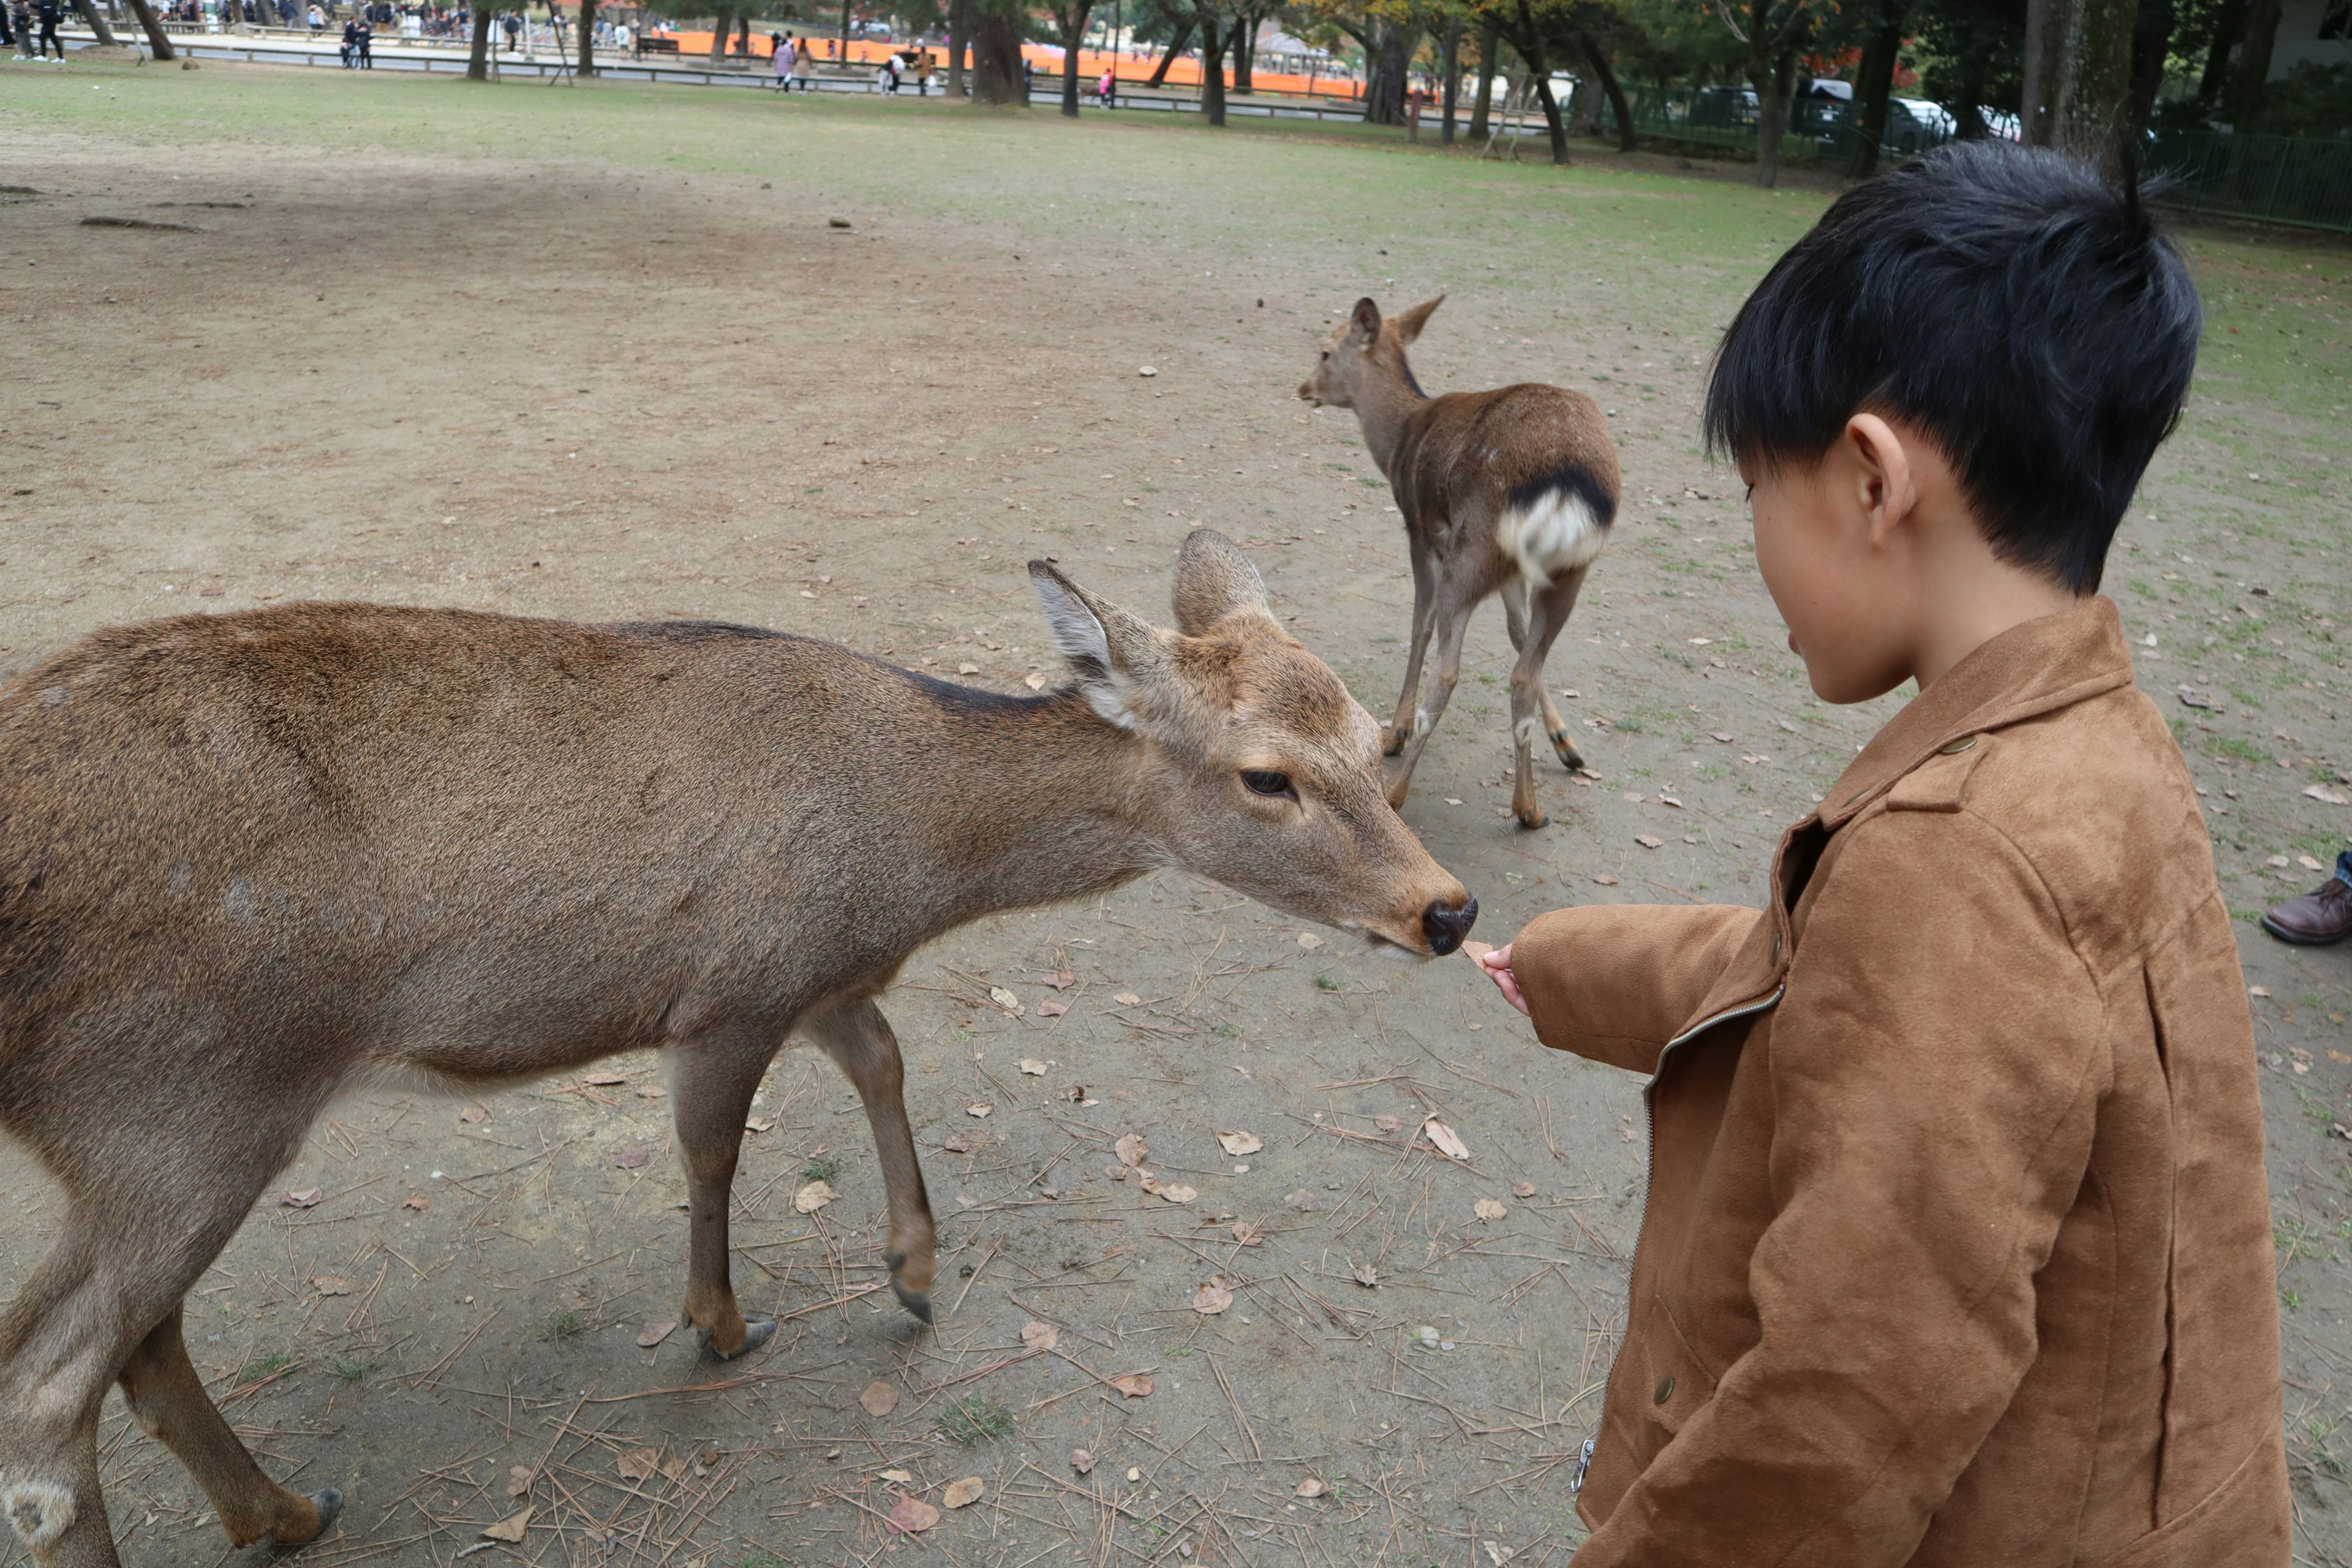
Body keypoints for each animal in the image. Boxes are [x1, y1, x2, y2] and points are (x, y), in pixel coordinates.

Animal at [0, 531, 1468, 1568]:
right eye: (1266, 774)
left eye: (1370, 730)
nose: (1446, 910)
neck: (910, 860)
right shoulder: (733, 987)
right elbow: (713, 1150)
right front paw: (722, 1322)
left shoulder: (821, 975)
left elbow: (884, 1058)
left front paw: (915, 1271)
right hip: (178, 1097)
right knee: (48, 1392)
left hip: (150, 1133)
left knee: (134, 1341)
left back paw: (285, 1512)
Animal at [1298, 297, 1627, 832]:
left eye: (1325, 351)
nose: (1304, 387)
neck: (1396, 441)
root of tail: (1564, 484)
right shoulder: (1513, 573)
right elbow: (1517, 633)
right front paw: (1568, 745)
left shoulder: (1418, 530)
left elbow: (1420, 623)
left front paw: (1395, 732)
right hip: (1568, 573)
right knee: (1524, 672)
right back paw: (1529, 807)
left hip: (1471, 551)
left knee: (1448, 671)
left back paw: (1396, 792)